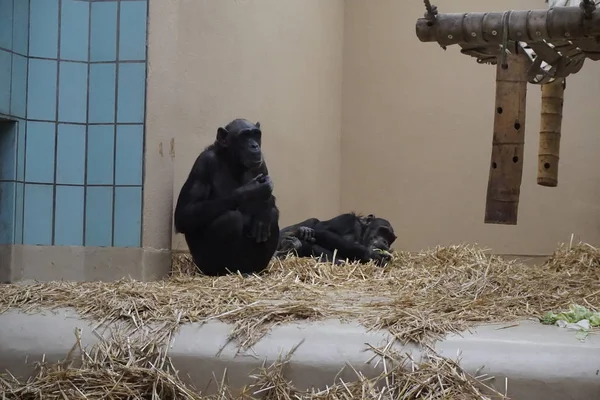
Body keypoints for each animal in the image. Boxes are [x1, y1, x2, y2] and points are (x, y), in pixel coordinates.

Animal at [171, 117, 278, 276]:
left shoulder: (262, 164)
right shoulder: (202, 165)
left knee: (274, 215)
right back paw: (222, 272)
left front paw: (263, 213)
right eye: (244, 136)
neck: (233, 163)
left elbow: (270, 205)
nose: (254, 145)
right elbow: (185, 213)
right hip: (204, 264)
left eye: (256, 134)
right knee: (230, 219)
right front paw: (252, 190)